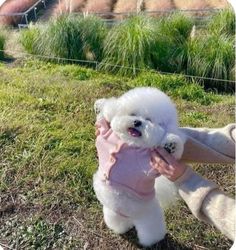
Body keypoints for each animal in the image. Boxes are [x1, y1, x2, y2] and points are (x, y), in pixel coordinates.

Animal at [93, 87, 185, 246]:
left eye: (149, 120)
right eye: (133, 114)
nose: (137, 122)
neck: (129, 143)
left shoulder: (152, 162)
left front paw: (171, 144)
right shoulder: (104, 135)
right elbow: (105, 118)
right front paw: (100, 105)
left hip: (149, 218)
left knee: (151, 232)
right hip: (112, 212)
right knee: (119, 222)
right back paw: (121, 228)